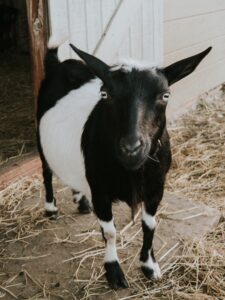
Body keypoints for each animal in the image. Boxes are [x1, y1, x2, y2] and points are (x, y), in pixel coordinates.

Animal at [37, 35, 211, 290]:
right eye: (105, 94)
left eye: (165, 95)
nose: (131, 148)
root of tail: (58, 63)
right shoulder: (100, 189)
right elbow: (109, 231)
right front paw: (114, 271)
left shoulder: (156, 187)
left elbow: (150, 225)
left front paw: (149, 266)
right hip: (40, 142)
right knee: (47, 173)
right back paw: (51, 208)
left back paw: (81, 201)